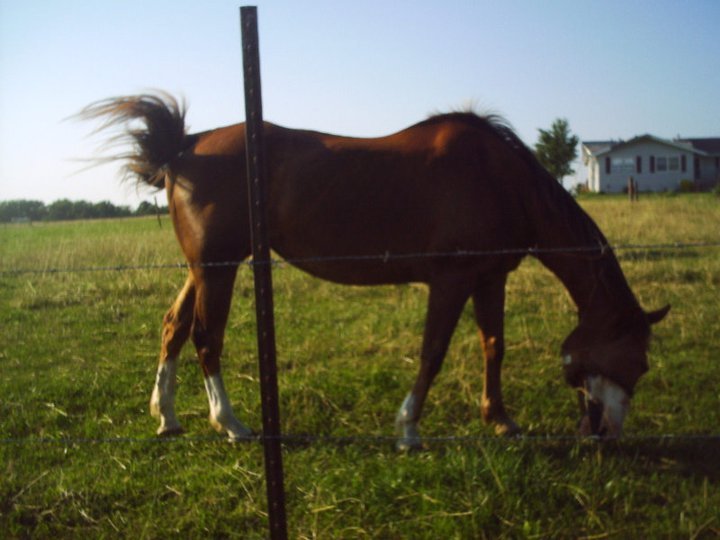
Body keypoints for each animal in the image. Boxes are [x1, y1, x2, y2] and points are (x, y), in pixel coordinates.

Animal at [80, 93, 669, 448]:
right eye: (636, 361)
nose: (607, 432)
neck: (501, 180)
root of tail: (186, 147)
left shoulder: (489, 278)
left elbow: (493, 346)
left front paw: (500, 419)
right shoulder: (451, 281)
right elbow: (433, 353)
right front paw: (408, 429)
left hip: (202, 269)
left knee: (174, 327)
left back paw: (167, 416)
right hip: (219, 268)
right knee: (206, 336)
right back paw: (232, 424)